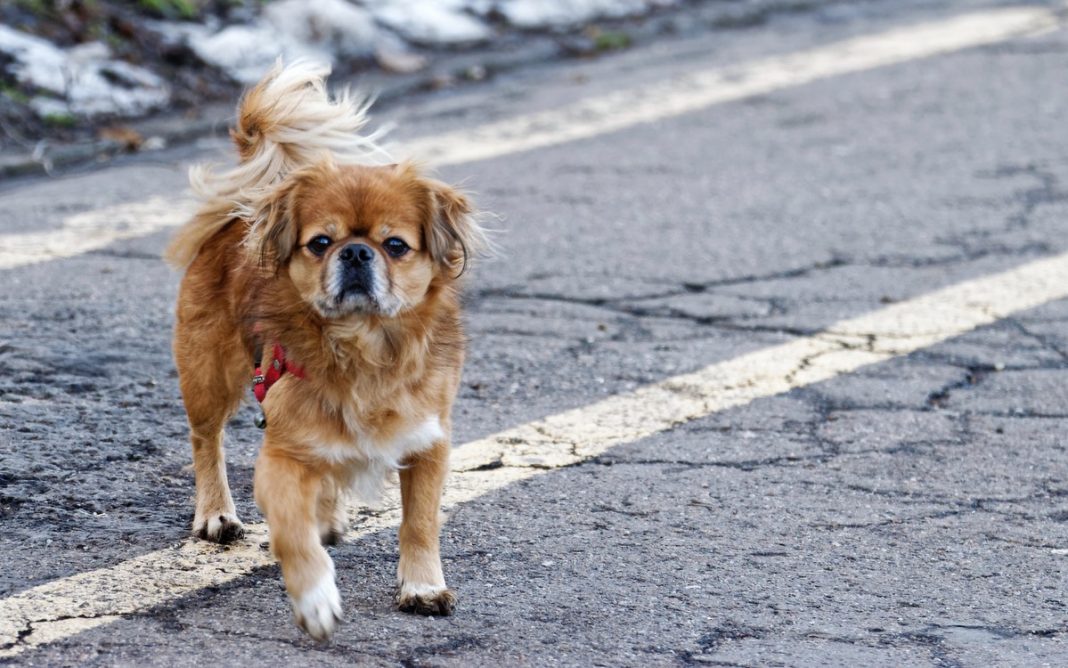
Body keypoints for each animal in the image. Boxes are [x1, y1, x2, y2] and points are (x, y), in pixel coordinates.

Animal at [165, 63, 484, 641]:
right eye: (319, 242)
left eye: (395, 245)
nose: (355, 252)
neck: (362, 348)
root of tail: (240, 213)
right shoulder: (282, 457)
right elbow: (292, 533)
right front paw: (315, 597)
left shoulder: (428, 444)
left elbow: (420, 522)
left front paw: (423, 586)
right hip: (209, 376)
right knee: (206, 440)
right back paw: (216, 514)